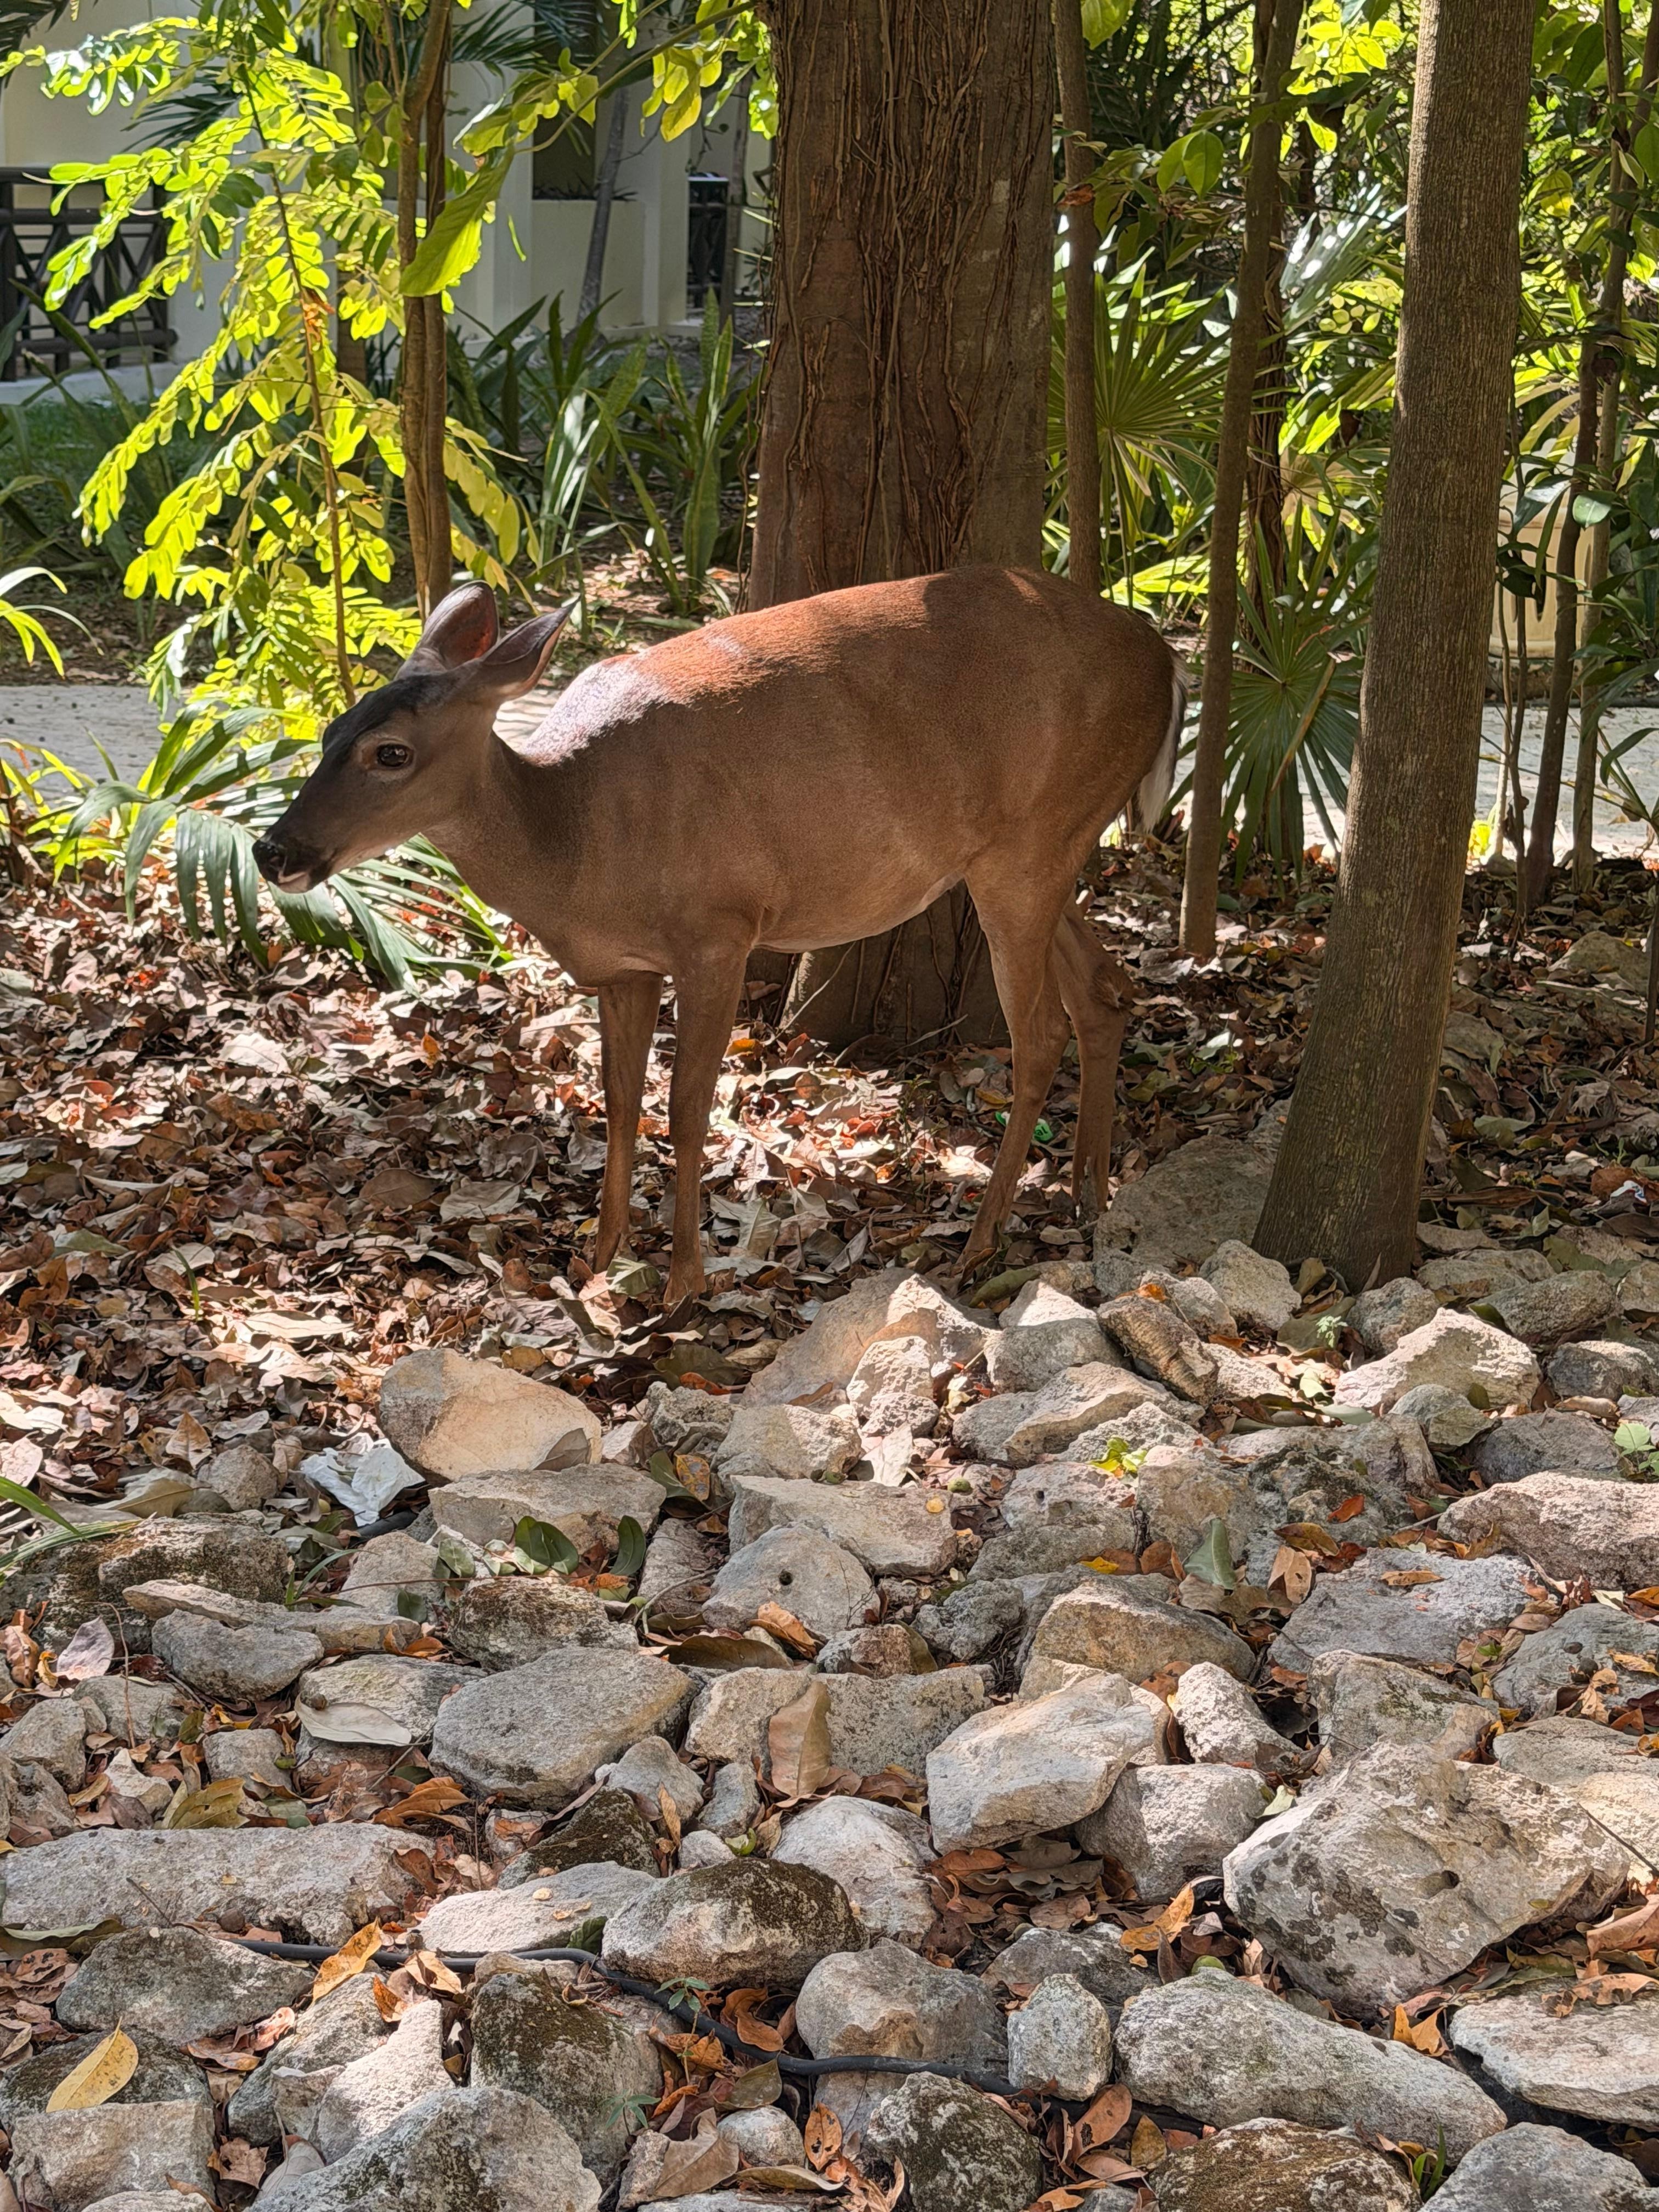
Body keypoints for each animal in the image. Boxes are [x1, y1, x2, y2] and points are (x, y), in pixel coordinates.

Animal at [254, 565, 1186, 1309]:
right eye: (330, 731)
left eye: (391, 752)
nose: (273, 851)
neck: (577, 839)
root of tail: (1165, 656)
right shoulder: (623, 970)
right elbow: (620, 1102)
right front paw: (599, 1260)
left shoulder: (719, 929)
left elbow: (687, 1107)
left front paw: (681, 1285)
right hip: (1025, 850)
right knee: (1107, 991)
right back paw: (1089, 1196)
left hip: (1032, 842)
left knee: (1043, 1034)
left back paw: (982, 1243)